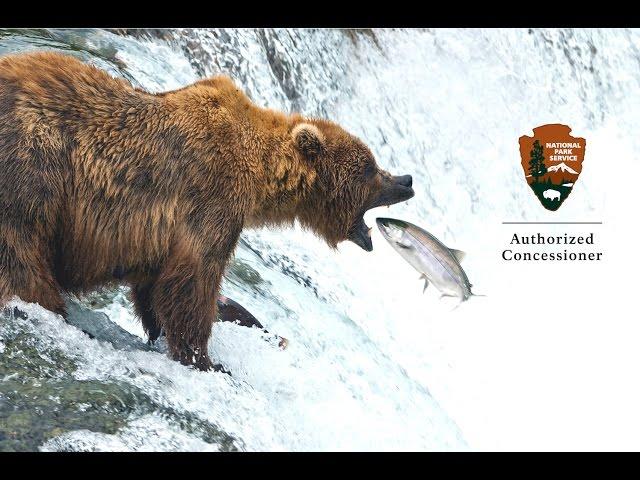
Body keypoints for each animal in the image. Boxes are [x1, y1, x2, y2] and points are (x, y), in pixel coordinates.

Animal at [0, 50, 416, 370]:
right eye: (370, 168)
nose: (406, 180)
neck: (258, 171)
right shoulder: (210, 197)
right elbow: (191, 282)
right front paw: (206, 359)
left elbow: (157, 286)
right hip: (34, 166)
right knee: (21, 254)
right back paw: (49, 307)